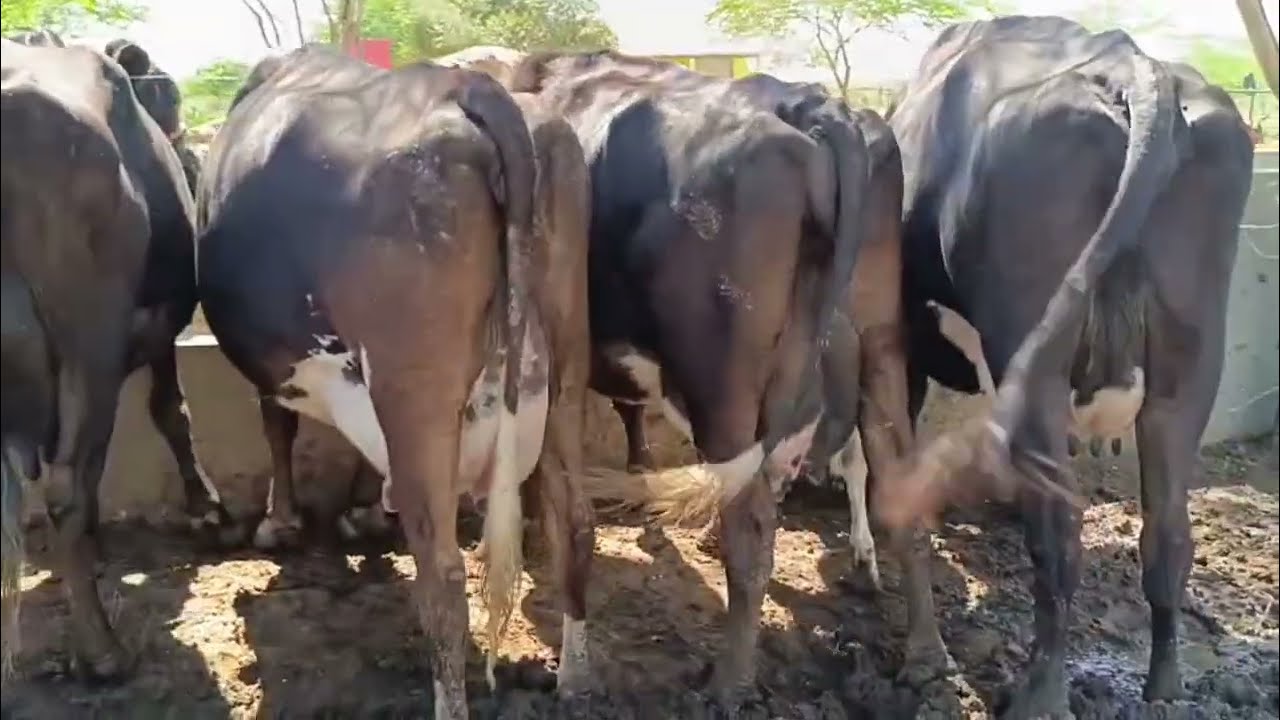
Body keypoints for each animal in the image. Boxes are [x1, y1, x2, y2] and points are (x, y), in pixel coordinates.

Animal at [1, 38, 230, 681]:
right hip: (90, 339)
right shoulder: (156, 325)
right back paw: (103, 649)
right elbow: (169, 411)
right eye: (170, 94)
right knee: (65, 489)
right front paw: (208, 509)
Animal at [195, 45, 594, 715]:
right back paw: (573, 679)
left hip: (415, 390)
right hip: (565, 367)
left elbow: (276, 422)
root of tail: (469, 87)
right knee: (577, 524)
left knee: (443, 577)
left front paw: (280, 522)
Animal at [885, 16, 1256, 718]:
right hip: (1190, 364)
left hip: (1038, 359)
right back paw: (1165, 686)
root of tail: (1130, 64)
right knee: (1168, 535)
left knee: (1059, 538)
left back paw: (1041, 693)